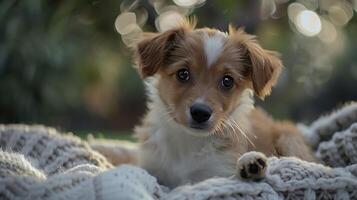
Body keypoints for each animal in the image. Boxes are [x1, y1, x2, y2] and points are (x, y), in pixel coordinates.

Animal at [133, 20, 314, 188]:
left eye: (227, 81)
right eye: (182, 73)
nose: (200, 112)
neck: (189, 141)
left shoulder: (218, 171)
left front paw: (249, 162)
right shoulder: (153, 167)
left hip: (289, 138)